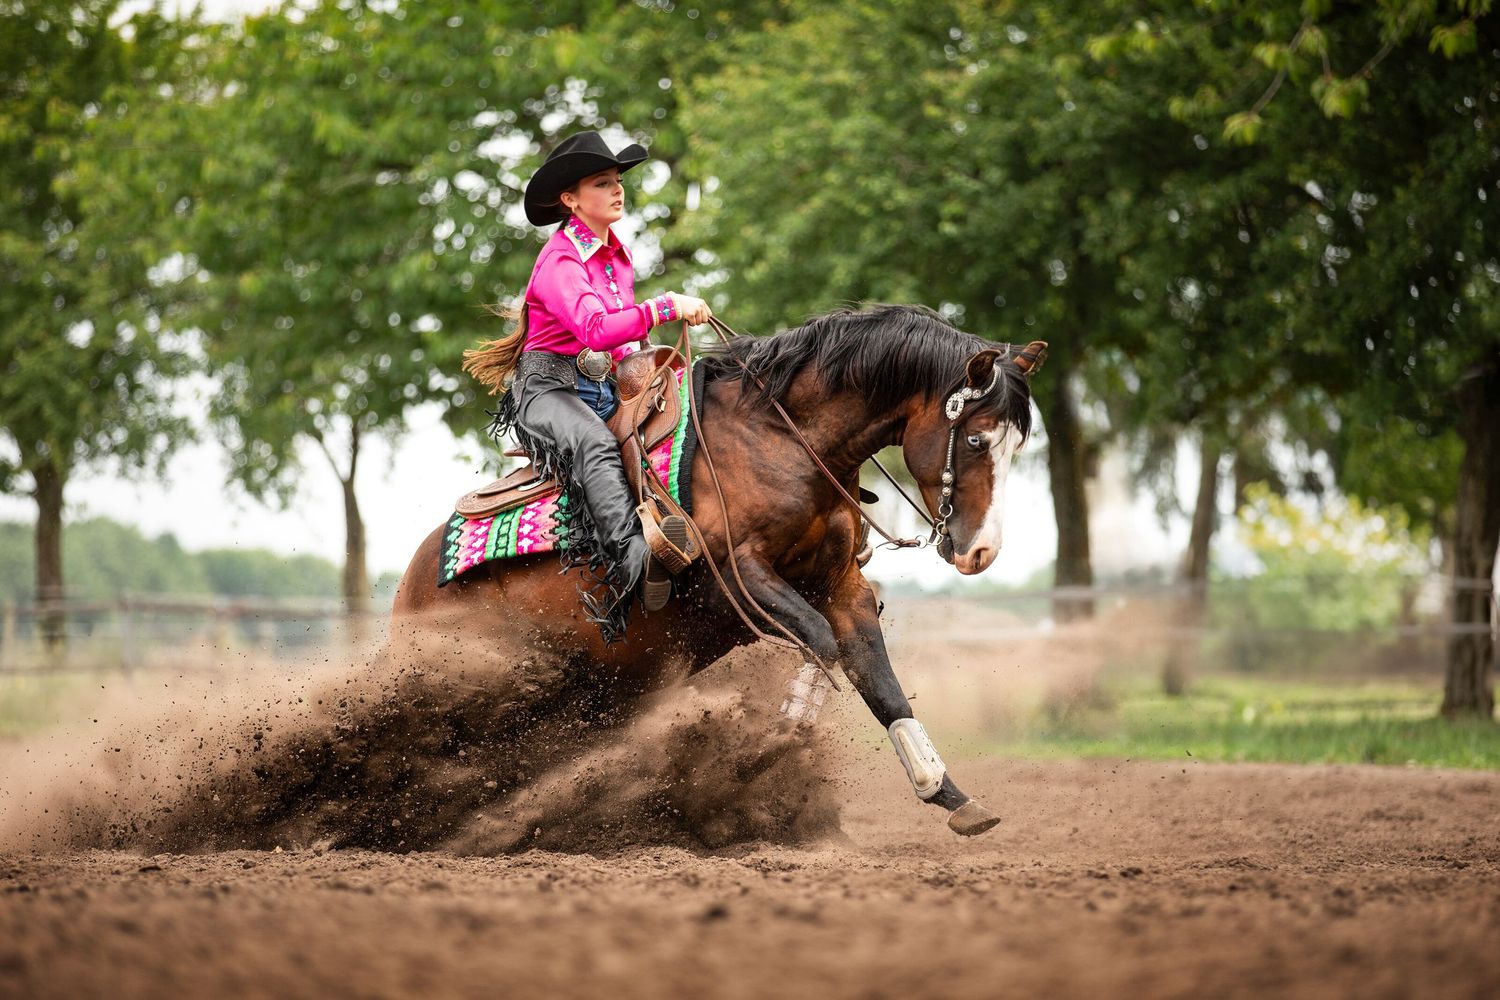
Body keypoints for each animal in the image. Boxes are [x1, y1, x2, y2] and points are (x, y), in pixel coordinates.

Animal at [392, 303, 1044, 837]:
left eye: (1017, 445)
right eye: (978, 440)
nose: (980, 552)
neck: (782, 438)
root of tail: (411, 585)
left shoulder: (842, 585)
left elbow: (879, 681)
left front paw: (951, 795)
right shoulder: (734, 578)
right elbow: (821, 643)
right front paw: (768, 747)